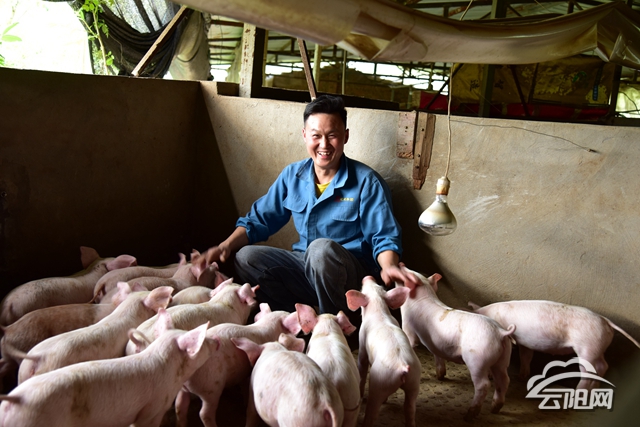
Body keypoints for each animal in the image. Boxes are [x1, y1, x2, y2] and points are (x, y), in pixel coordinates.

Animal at [346, 276, 421, 427]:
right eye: (380, 286)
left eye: (363, 289)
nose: (368, 277)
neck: (378, 308)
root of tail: (403, 366)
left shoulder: (362, 342)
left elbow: (362, 367)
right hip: (414, 381)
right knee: (410, 408)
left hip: (379, 381)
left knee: (372, 411)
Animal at [397, 267, 515, 421]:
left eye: (406, 275)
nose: (401, 265)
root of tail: (501, 332)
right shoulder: (435, 342)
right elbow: (437, 354)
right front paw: (440, 376)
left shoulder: (408, 327)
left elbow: (411, 342)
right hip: (503, 358)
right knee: (504, 380)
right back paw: (495, 408)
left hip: (477, 359)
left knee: (484, 385)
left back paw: (469, 415)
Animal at [468, 299, 640, 389]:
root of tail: (606, 321)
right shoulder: (525, 343)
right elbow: (526, 357)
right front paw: (522, 378)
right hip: (598, 349)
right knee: (603, 365)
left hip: (587, 348)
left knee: (592, 369)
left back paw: (578, 392)